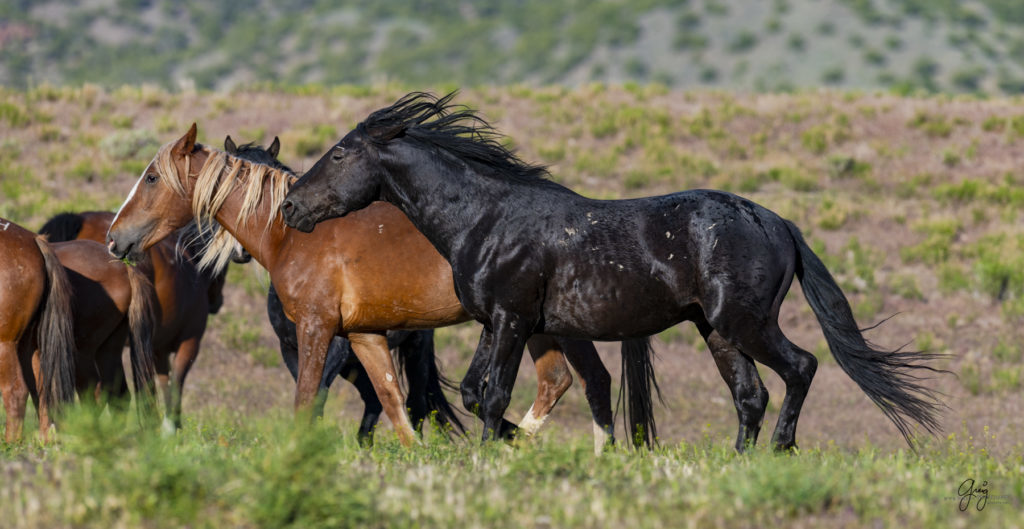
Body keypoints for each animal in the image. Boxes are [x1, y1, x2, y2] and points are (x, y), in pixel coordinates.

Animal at [0, 216, 76, 439]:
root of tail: (34, 241)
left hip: (6, 343)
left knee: (15, 391)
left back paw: (11, 443)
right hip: (30, 343)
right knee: (43, 387)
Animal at [108, 124, 626, 450]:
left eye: (151, 178)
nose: (115, 238)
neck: (291, 235)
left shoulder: (319, 332)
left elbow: (309, 401)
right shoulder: (363, 335)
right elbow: (394, 407)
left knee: (592, 383)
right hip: (529, 329)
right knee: (556, 381)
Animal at [282, 92, 950, 448]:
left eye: (339, 153)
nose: (290, 207)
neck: (486, 217)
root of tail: (777, 222)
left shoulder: (512, 319)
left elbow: (492, 394)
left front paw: (502, 450)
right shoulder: (499, 323)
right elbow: (474, 392)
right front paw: (516, 443)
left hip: (745, 321)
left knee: (801, 368)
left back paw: (782, 451)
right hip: (717, 331)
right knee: (751, 395)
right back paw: (742, 461)